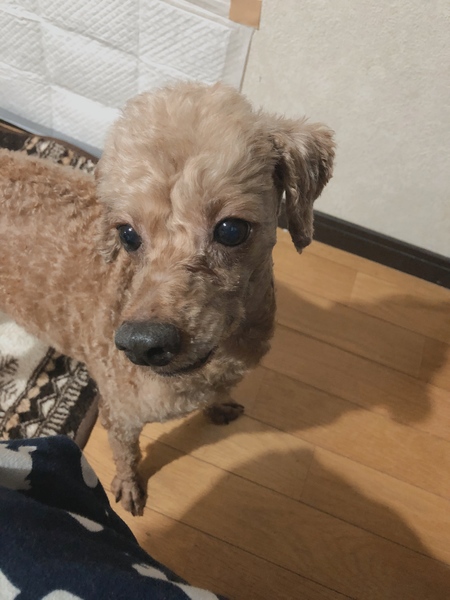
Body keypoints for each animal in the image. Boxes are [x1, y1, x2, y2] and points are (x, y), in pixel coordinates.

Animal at [0, 82, 334, 515]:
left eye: (231, 229)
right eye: (127, 234)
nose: (141, 345)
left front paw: (220, 405)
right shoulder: (120, 415)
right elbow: (126, 455)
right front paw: (128, 487)